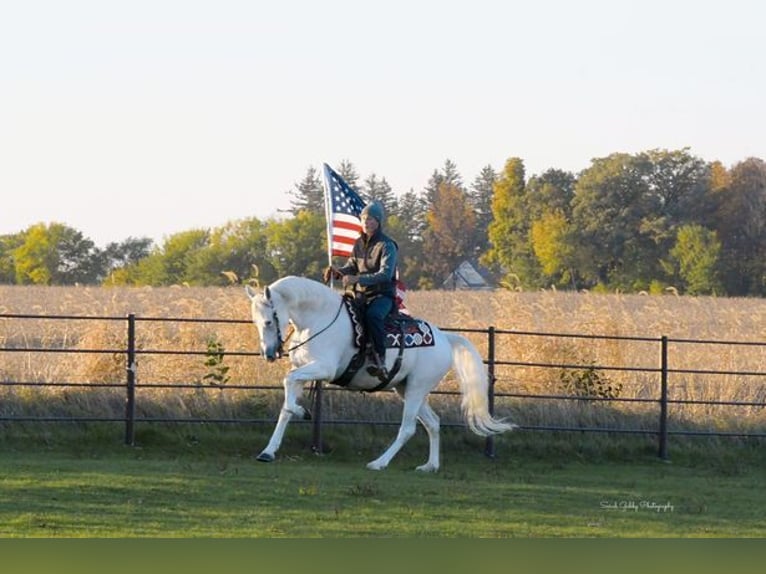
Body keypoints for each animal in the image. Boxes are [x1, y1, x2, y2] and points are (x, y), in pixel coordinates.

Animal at [246, 278, 516, 472]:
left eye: (269, 321)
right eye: (255, 322)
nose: (268, 354)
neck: (319, 318)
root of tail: (444, 338)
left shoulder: (324, 368)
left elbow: (288, 382)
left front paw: (304, 412)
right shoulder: (303, 371)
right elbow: (286, 405)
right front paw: (268, 450)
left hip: (417, 388)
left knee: (408, 428)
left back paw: (379, 462)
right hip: (406, 389)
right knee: (433, 423)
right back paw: (430, 465)